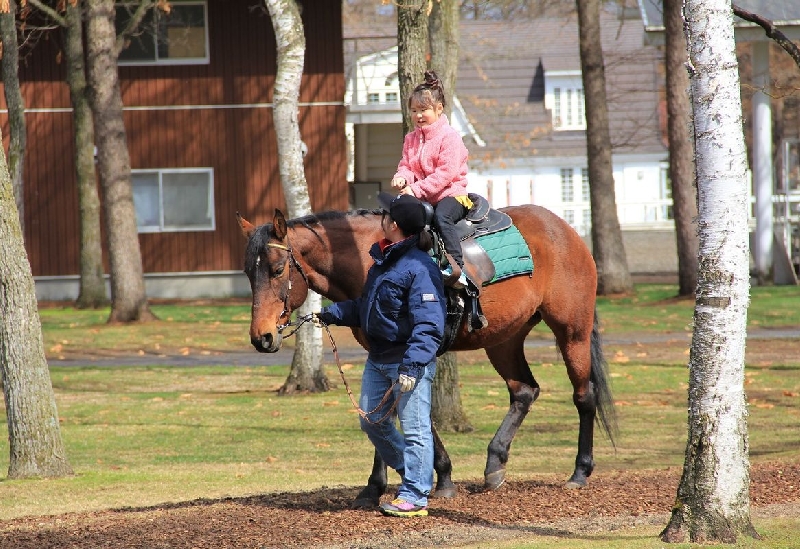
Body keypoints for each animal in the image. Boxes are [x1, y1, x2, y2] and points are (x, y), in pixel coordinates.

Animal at [238, 204, 620, 506]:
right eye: (247, 273)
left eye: (277, 269)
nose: (262, 337)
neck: (373, 262)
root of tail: (563, 229)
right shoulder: (382, 354)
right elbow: (382, 414)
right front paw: (375, 487)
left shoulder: (413, 355)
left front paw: (440, 479)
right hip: (504, 340)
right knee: (524, 391)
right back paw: (495, 464)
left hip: (572, 331)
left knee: (584, 396)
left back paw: (579, 472)